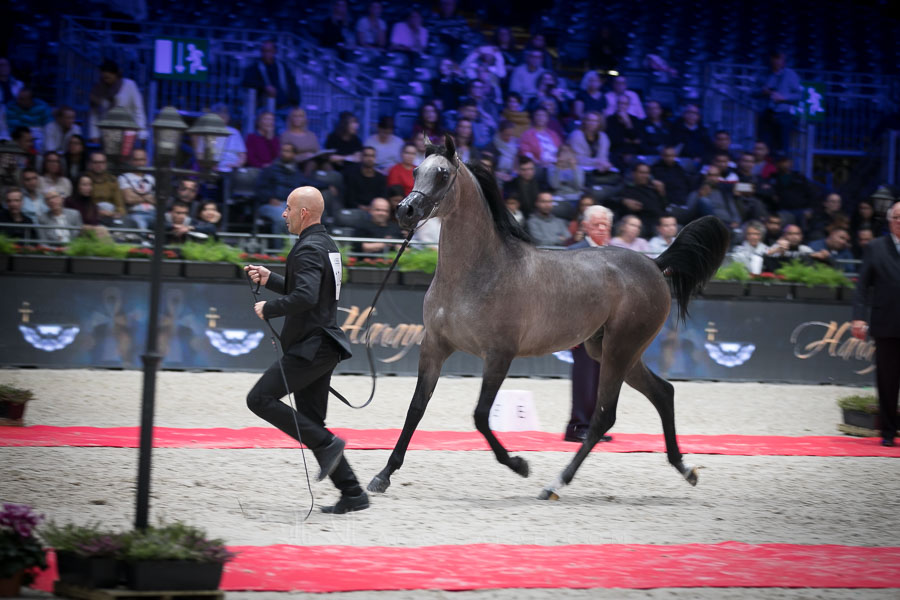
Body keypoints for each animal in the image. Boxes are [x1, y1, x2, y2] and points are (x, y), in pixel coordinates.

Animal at [367, 134, 730, 500]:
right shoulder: (434, 346)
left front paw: (519, 464)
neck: (476, 273)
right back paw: (685, 469)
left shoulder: (499, 355)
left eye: (442, 175)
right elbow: (416, 408)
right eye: (415, 170)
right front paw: (382, 476)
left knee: (604, 417)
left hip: (620, 349)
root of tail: (655, 264)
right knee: (663, 393)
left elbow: (481, 416)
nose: (405, 210)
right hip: (612, 351)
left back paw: (554, 484)